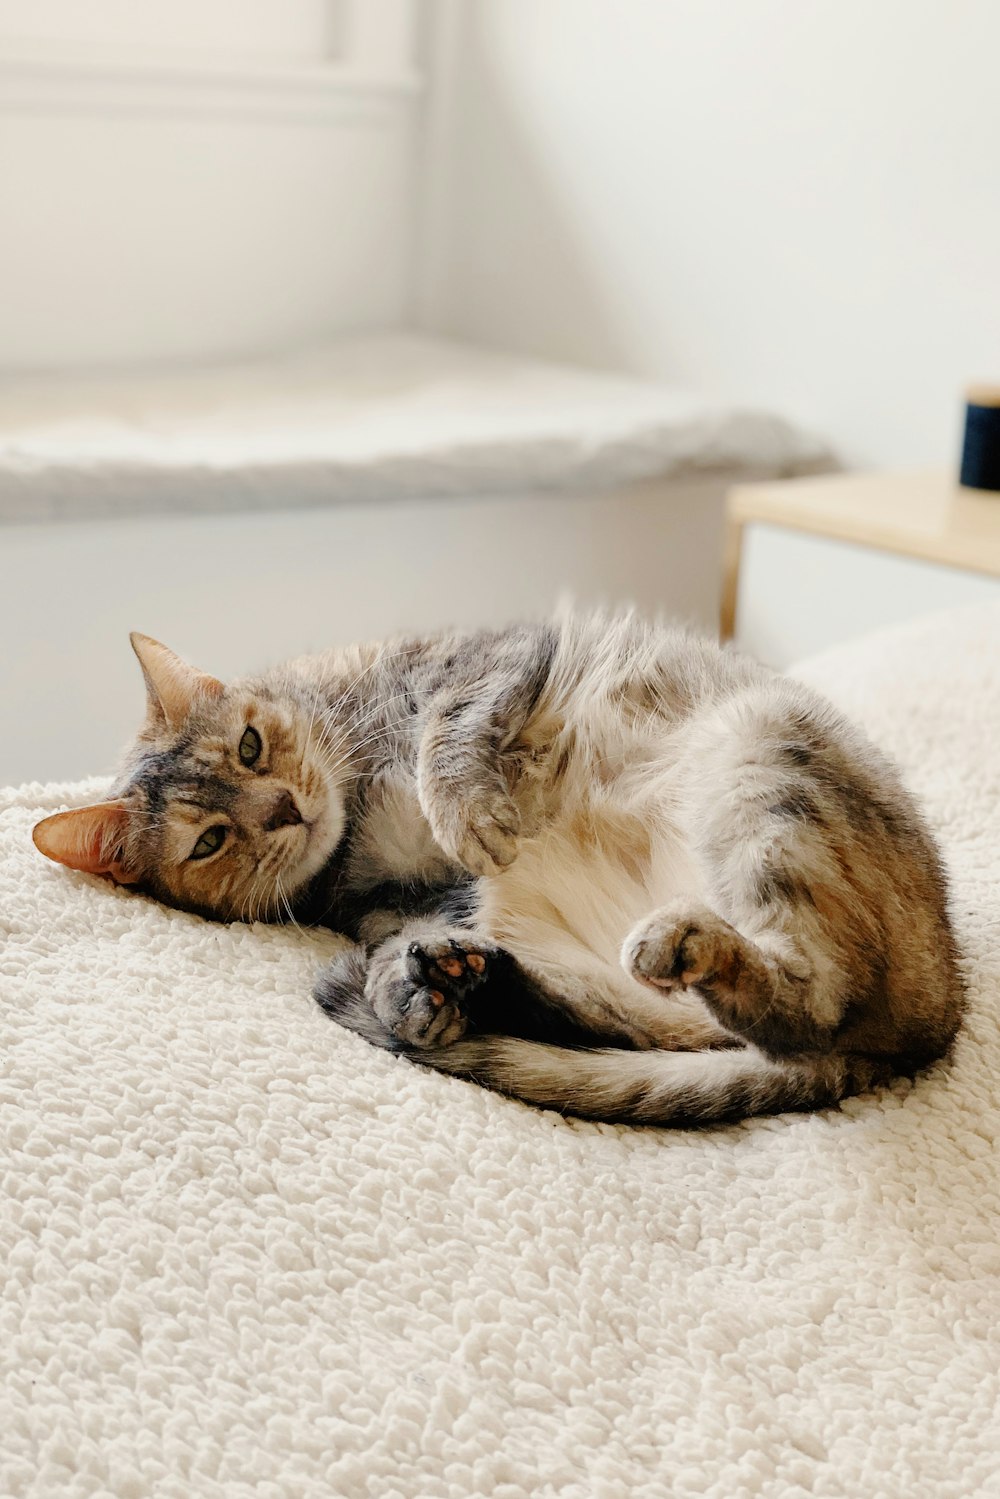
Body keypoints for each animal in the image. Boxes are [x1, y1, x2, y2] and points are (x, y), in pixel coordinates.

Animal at [35, 614, 965, 1121]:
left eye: (252, 745)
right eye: (208, 842)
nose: (285, 810)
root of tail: (930, 1028)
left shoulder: (488, 659)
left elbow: (451, 726)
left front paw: (464, 810)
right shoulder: (402, 900)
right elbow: (399, 912)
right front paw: (409, 974)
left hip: (764, 754)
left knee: (803, 999)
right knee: (664, 1020)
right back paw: (442, 982)